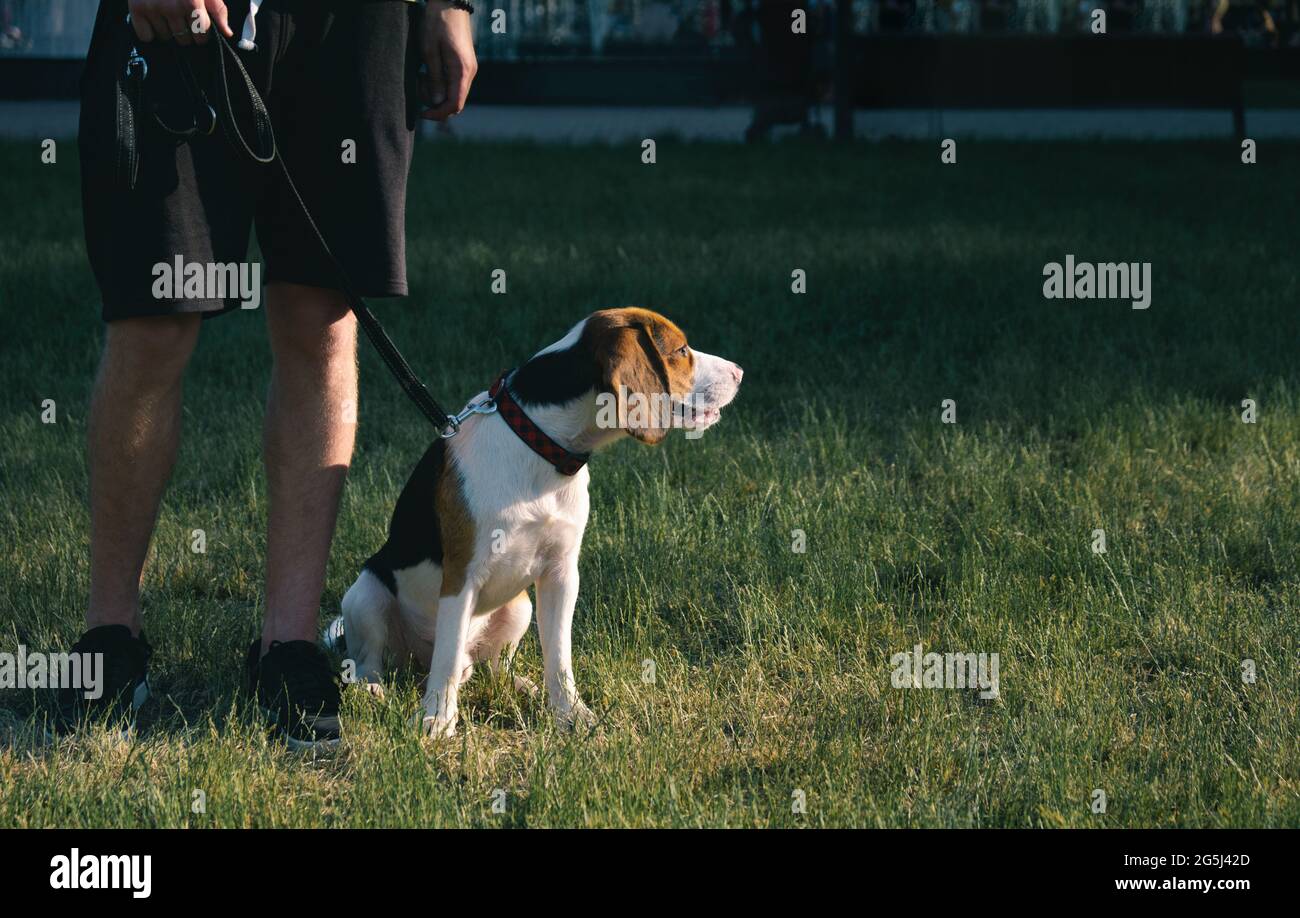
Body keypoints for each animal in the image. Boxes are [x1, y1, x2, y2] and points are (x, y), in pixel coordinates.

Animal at [338, 309, 743, 738]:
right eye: (680, 350)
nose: (740, 372)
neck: (539, 444)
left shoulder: (561, 573)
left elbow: (559, 656)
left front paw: (571, 714)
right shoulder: (461, 576)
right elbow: (445, 660)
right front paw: (437, 719)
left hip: (520, 606)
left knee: (492, 668)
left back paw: (520, 685)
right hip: (364, 594)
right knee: (376, 661)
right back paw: (373, 690)